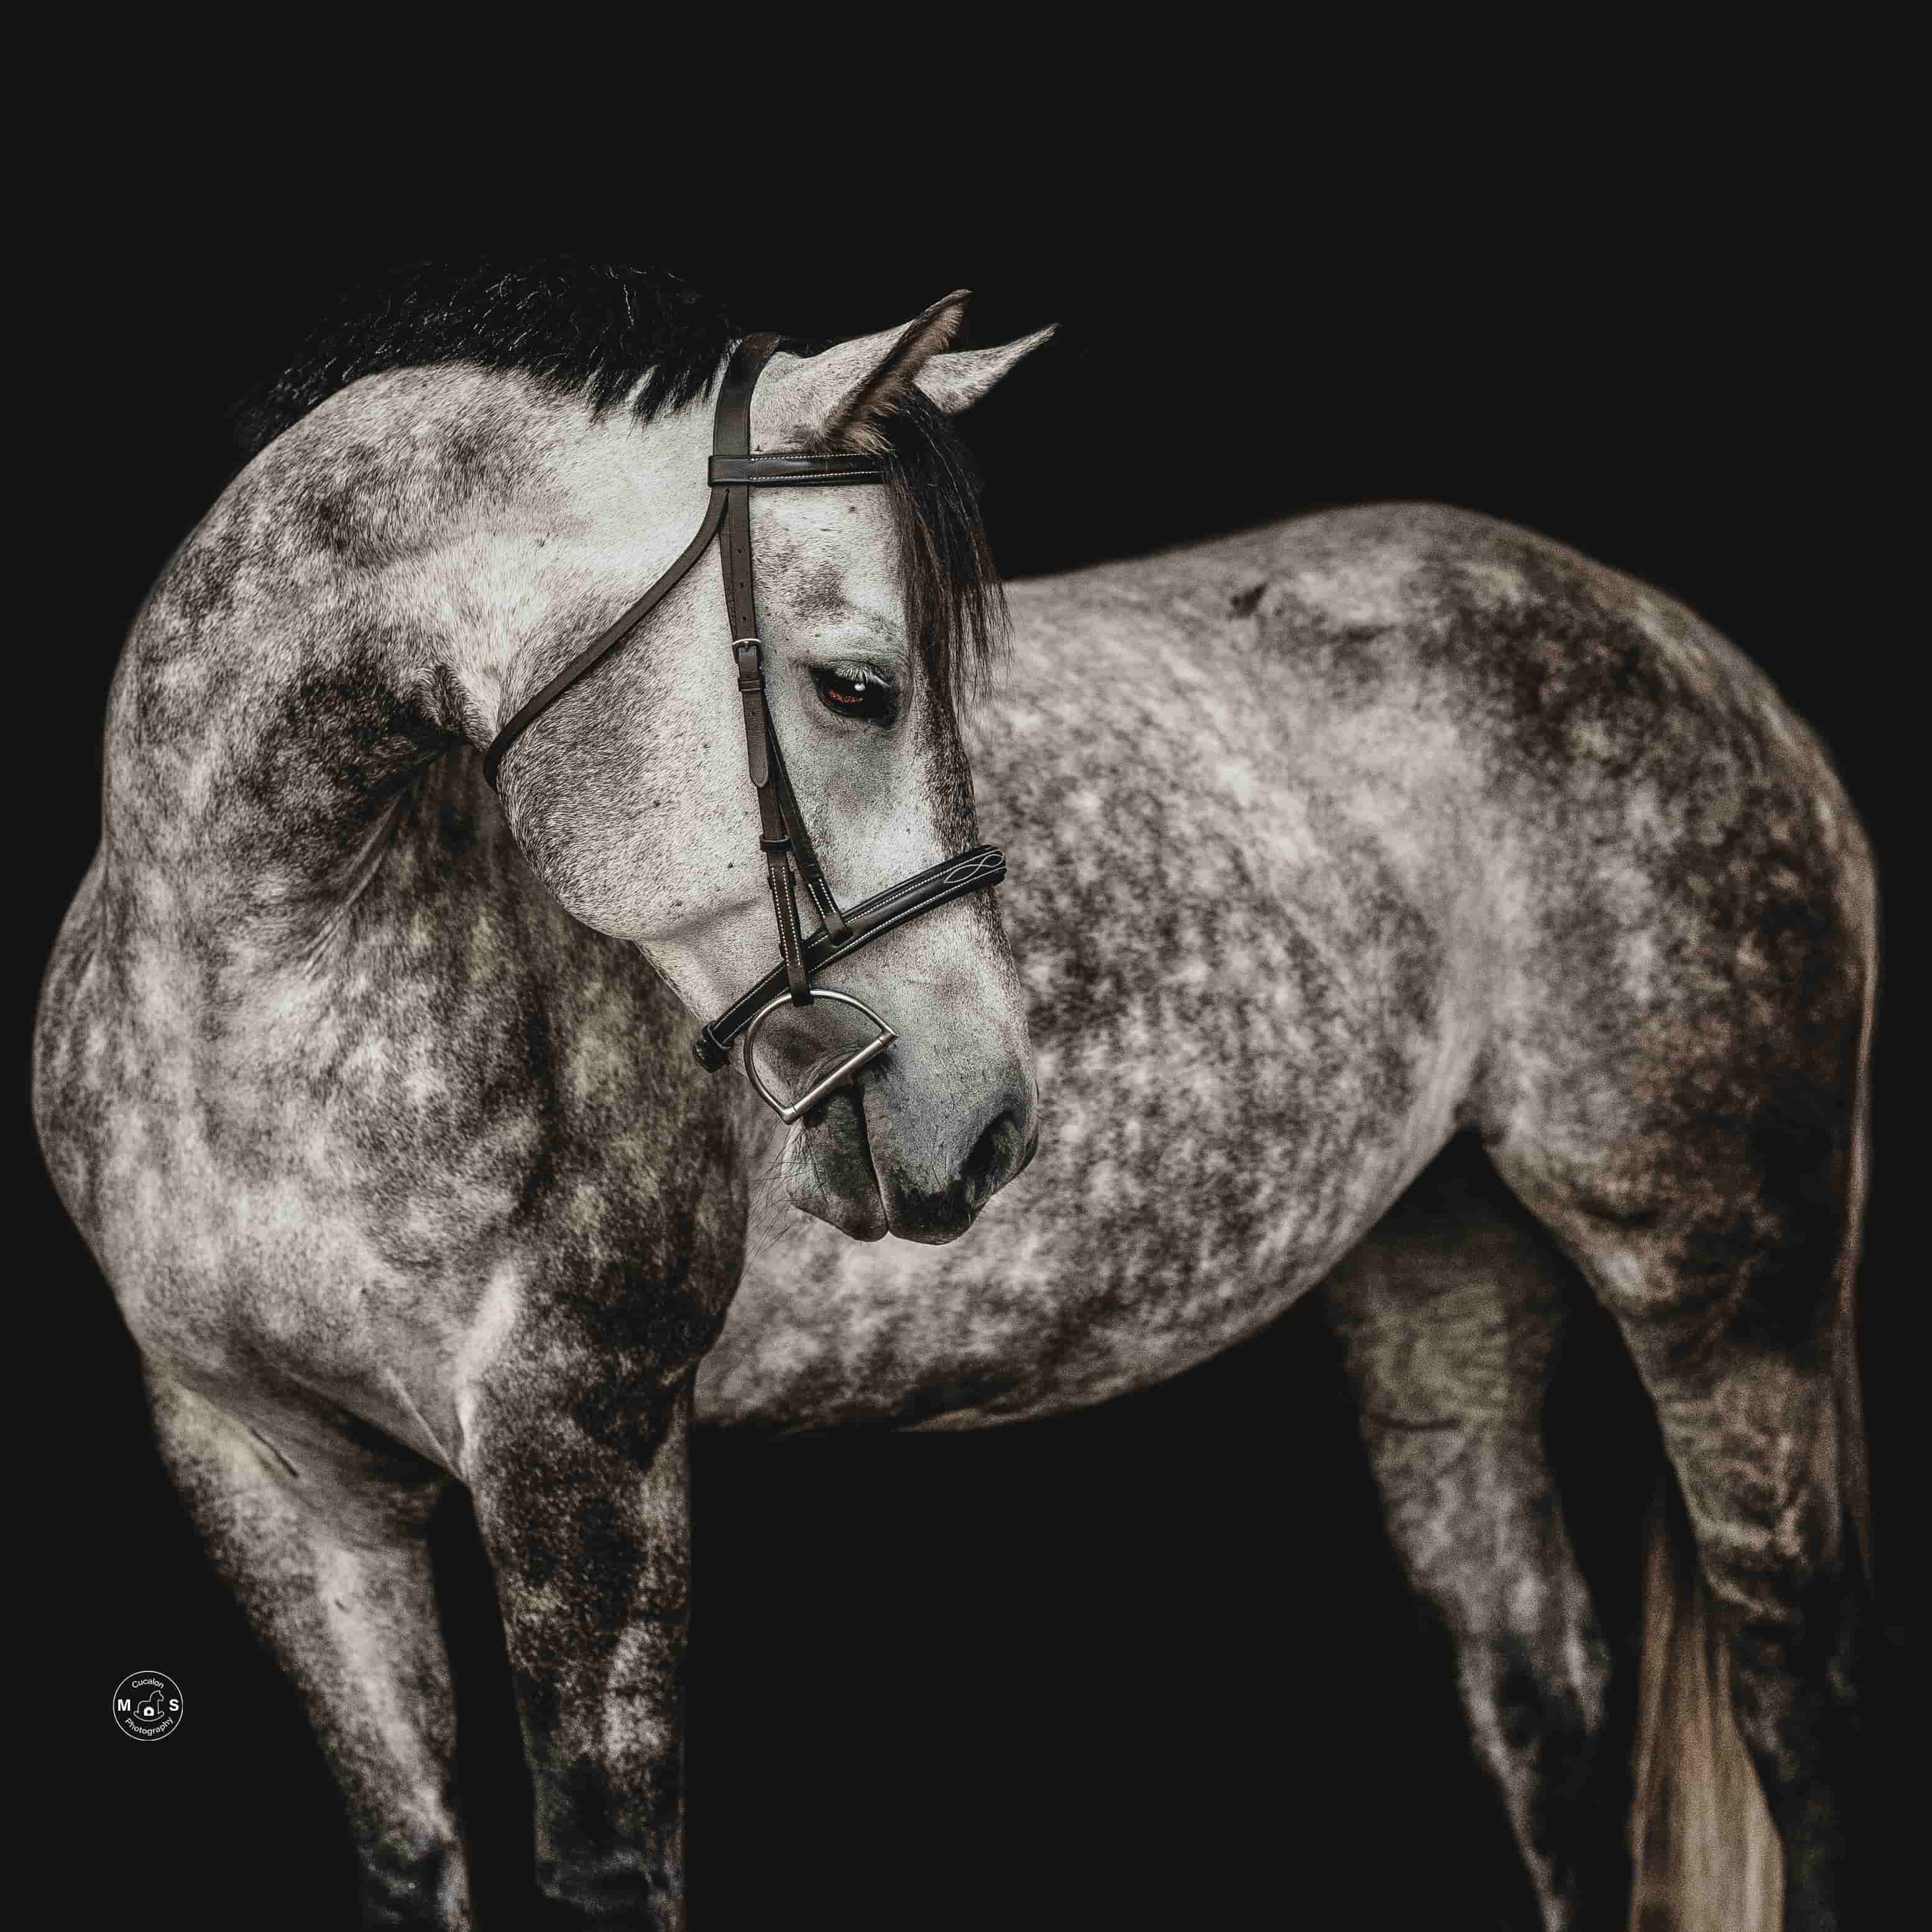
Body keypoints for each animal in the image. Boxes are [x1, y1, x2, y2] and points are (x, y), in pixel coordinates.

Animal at [31, 260, 1052, 1928]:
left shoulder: (586, 1451)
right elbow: (409, 1849)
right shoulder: (273, 1473)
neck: (248, 1025)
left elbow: (601, 1865)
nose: (995, 1118)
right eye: (858, 689)